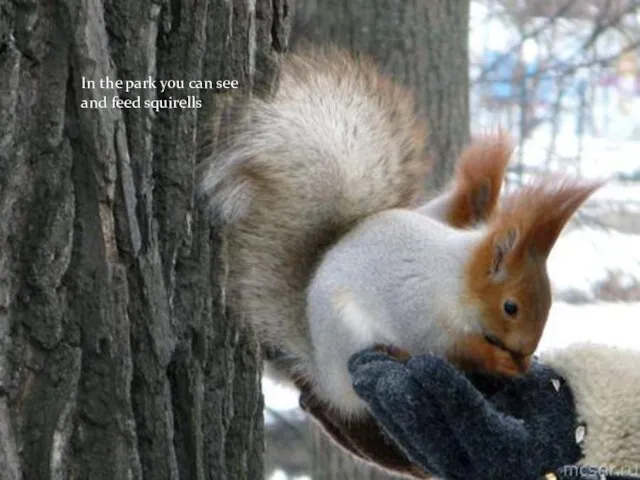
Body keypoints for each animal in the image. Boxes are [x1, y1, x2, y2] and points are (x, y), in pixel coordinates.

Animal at [202, 47, 604, 418]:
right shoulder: (422, 312)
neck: (457, 279)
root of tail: (325, 374)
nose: (524, 352)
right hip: (351, 334)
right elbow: (450, 347)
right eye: (511, 306)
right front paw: (498, 361)